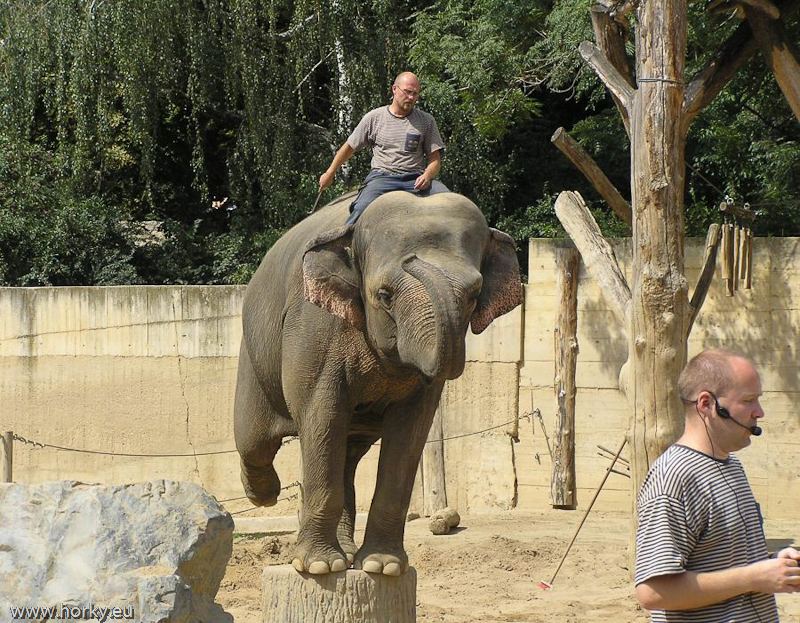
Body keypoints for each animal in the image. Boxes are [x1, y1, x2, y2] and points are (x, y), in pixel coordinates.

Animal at [233, 190, 522, 576]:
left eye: (474, 294)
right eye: (384, 295)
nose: (413, 259)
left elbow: (411, 430)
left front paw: (381, 567)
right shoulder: (314, 325)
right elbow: (321, 414)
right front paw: (318, 568)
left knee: (346, 455)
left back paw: (346, 553)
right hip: (252, 356)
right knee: (255, 441)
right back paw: (265, 495)